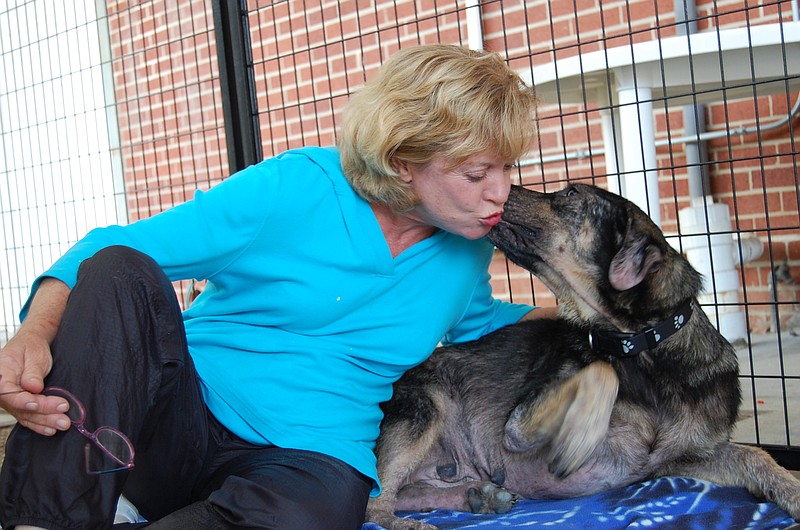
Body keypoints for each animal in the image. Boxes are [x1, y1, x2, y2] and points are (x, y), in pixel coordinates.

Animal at [366, 183, 800, 528]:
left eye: (572, 194)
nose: (502, 187)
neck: (643, 349)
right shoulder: (524, 419)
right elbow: (600, 372)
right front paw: (579, 431)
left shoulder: (680, 461)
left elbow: (756, 455)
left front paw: (793, 492)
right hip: (424, 410)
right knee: (374, 506)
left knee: (404, 495)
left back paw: (477, 496)